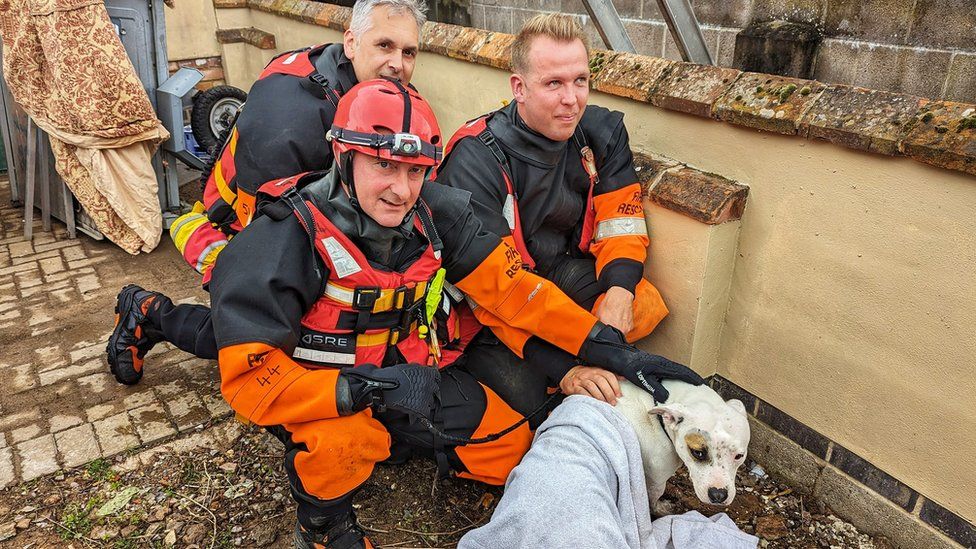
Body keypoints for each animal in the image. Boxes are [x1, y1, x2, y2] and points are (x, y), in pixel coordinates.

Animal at [616, 376, 748, 512]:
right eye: (697, 453)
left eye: (739, 456)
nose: (718, 495)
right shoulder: (656, 482)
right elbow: (653, 500)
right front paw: (660, 508)